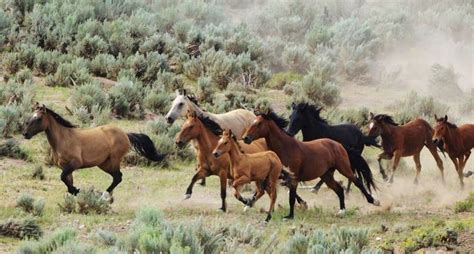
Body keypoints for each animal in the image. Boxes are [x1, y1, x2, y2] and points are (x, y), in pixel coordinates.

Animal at [22, 104, 167, 199]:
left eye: (39, 119)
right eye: (31, 117)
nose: (25, 133)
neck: (64, 139)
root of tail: (126, 134)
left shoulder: (75, 164)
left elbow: (63, 177)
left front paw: (77, 191)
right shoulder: (65, 167)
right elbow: (67, 181)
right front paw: (75, 191)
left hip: (114, 160)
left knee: (118, 177)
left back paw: (104, 195)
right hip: (104, 164)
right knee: (117, 177)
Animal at [243, 110, 380, 219]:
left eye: (259, 124)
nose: (246, 138)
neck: (286, 148)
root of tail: (338, 144)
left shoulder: (294, 178)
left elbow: (291, 197)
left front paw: (290, 216)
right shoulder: (280, 176)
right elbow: (266, 188)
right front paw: (248, 204)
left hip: (344, 168)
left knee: (357, 181)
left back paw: (374, 201)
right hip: (326, 175)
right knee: (339, 189)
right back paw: (341, 211)